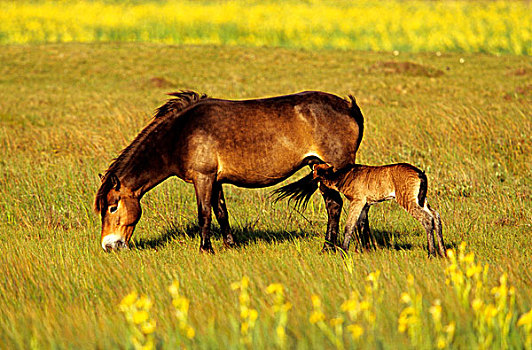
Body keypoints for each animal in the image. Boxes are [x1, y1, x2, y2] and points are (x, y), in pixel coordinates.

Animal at [94, 91, 362, 253]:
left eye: (113, 207)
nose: (108, 245)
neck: (180, 133)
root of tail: (348, 107)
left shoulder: (203, 178)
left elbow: (204, 213)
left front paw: (205, 248)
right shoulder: (215, 180)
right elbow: (221, 212)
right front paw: (229, 245)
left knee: (341, 206)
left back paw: (333, 247)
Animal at [312, 163, 444, 256]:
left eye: (314, 170)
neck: (344, 175)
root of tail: (420, 173)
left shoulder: (357, 201)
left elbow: (349, 226)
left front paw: (343, 252)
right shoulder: (365, 205)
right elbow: (362, 225)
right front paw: (366, 251)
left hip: (407, 200)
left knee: (427, 219)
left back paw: (431, 253)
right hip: (421, 200)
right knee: (436, 216)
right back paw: (442, 252)